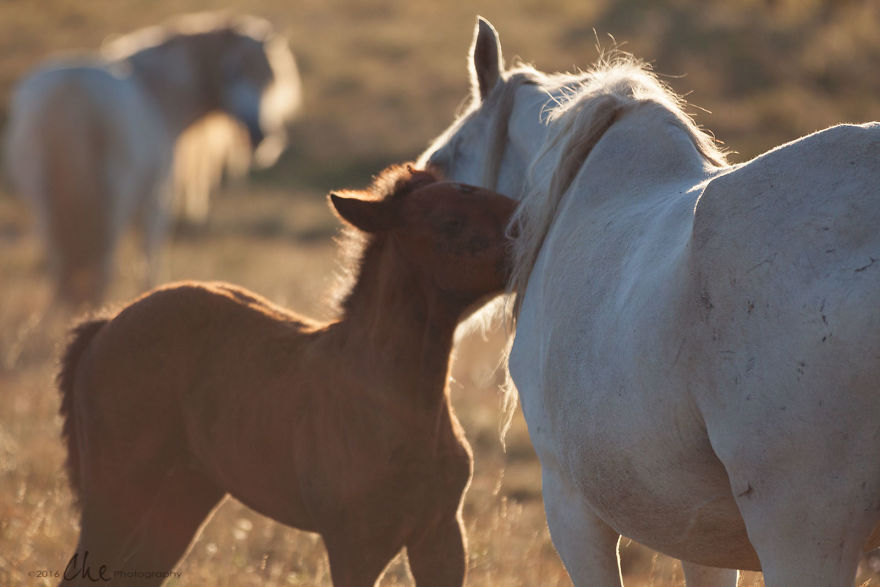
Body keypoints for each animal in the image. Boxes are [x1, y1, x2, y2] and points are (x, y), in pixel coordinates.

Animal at [3, 12, 301, 306]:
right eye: (232, 71)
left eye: (268, 76)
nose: (260, 134)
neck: (158, 94)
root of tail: (72, 88)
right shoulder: (156, 199)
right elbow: (150, 263)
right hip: (114, 202)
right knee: (102, 269)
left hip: (43, 201)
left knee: (59, 270)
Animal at [56, 164, 516, 586]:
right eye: (450, 221)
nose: (523, 228)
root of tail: (107, 323)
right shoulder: (357, 543)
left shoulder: (440, 535)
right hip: (116, 490)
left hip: (185, 493)